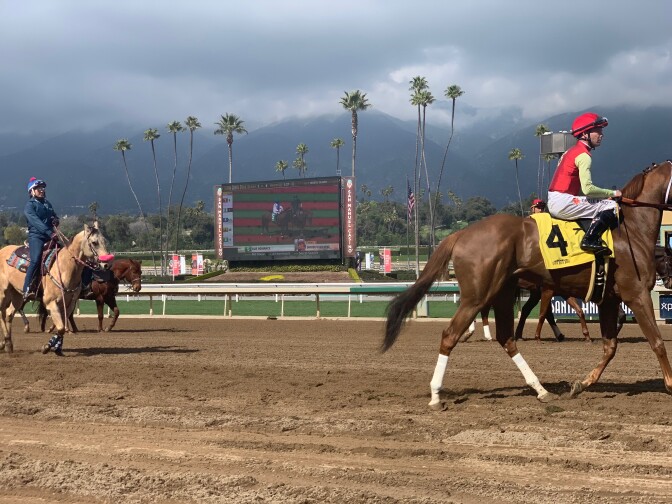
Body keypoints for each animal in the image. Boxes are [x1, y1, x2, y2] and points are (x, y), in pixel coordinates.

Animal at [0, 222, 113, 355]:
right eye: (94, 242)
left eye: (104, 241)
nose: (106, 264)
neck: (65, 268)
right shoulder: (51, 303)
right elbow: (60, 328)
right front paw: (47, 347)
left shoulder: (69, 304)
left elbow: (62, 326)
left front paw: (56, 348)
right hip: (3, 293)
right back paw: (6, 341)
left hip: (17, 295)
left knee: (9, 314)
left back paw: (7, 344)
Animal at [384, 161, 672, 408]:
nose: (668, 280)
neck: (631, 230)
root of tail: (461, 233)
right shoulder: (636, 294)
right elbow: (657, 341)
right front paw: (670, 383)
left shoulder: (608, 299)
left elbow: (610, 347)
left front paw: (581, 384)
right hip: (478, 294)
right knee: (451, 335)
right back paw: (435, 395)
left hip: (502, 291)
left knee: (506, 338)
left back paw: (541, 389)